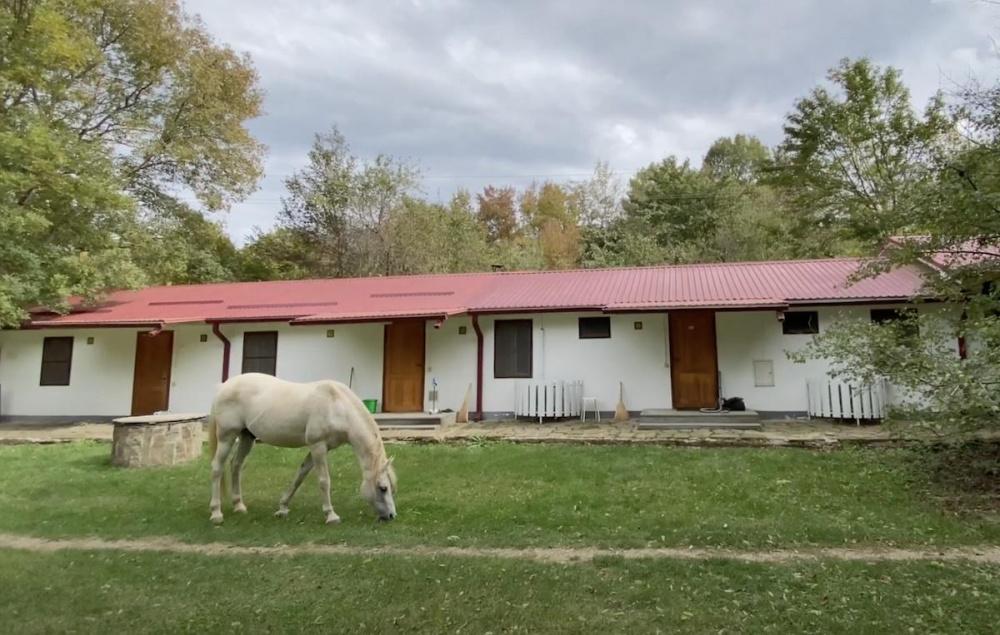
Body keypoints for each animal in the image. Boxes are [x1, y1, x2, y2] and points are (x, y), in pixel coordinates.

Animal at [207, 372, 398, 528]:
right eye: (383, 488)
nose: (391, 516)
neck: (336, 404)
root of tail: (224, 386)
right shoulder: (318, 446)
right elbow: (324, 481)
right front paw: (331, 516)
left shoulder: (320, 448)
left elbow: (300, 475)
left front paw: (282, 508)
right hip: (227, 437)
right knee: (217, 468)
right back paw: (216, 513)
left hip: (247, 437)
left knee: (236, 465)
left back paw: (239, 506)